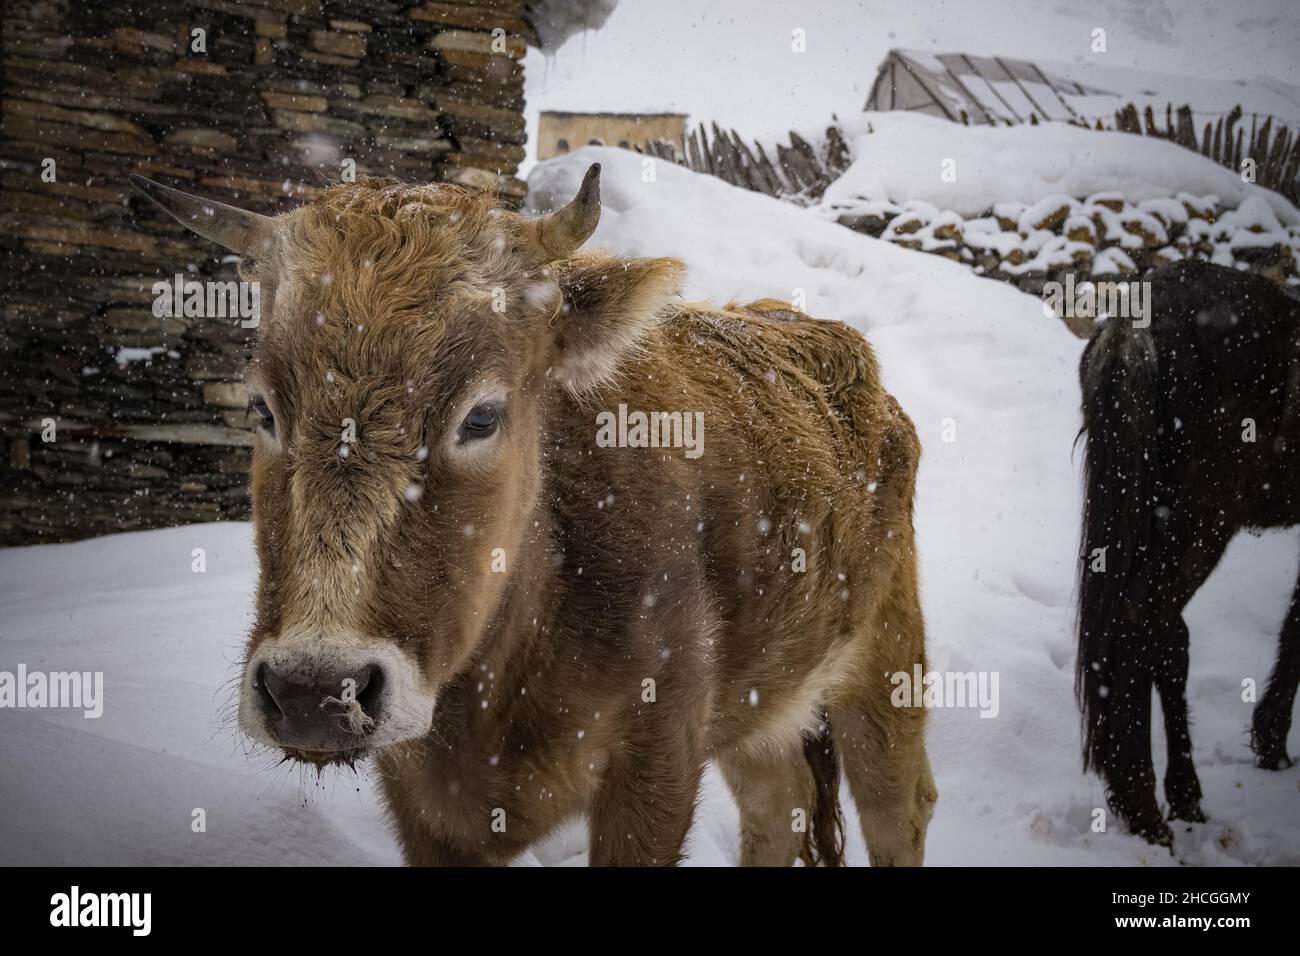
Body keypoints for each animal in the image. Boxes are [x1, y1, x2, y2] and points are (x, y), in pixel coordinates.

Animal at [131, 164, 935, 868]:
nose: (312, 693)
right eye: (262, 408)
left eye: (482, 416)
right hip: (763, 706)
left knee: (898, 805)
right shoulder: (424, 807)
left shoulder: (658, 764)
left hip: (885, 663)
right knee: (779, 805)